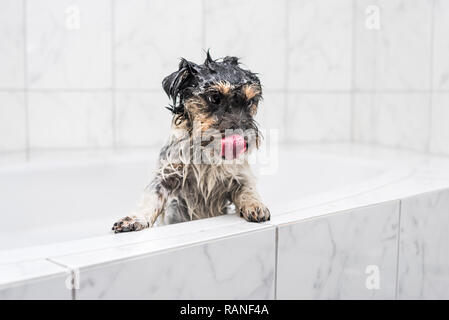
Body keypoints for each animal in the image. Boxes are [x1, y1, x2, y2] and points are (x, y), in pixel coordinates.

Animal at [112, 52, 270, 232]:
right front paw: (135, 218)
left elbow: (248, 190)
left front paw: (256, 206)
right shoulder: (167, 174)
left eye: (250, 101)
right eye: (215, 97)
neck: (206, 154)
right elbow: (151, 197)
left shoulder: (238, 175)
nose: (243, 140)